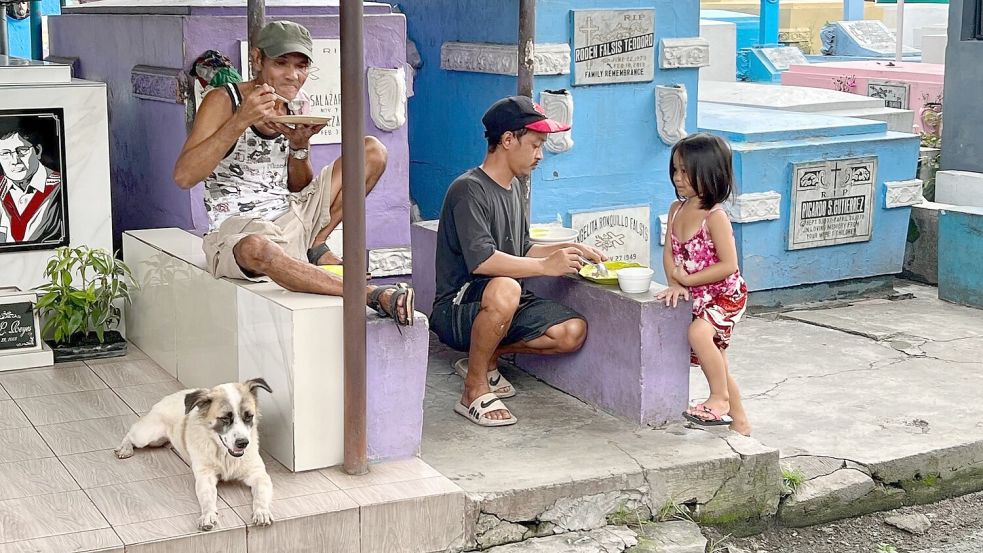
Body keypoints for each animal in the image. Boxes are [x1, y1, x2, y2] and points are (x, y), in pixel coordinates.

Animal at [116, 378, 276, 528]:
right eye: (225, 418)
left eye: (249, 416)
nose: (243, 443)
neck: (225, 456)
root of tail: (169, 397)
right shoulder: (205, 477)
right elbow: (207, 499)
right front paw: (208, 515)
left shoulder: (259, 475)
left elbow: (261, 496)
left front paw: (262, 512)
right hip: (147, 436)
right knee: (131, 433)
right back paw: (125, 448)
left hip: (157, 441)